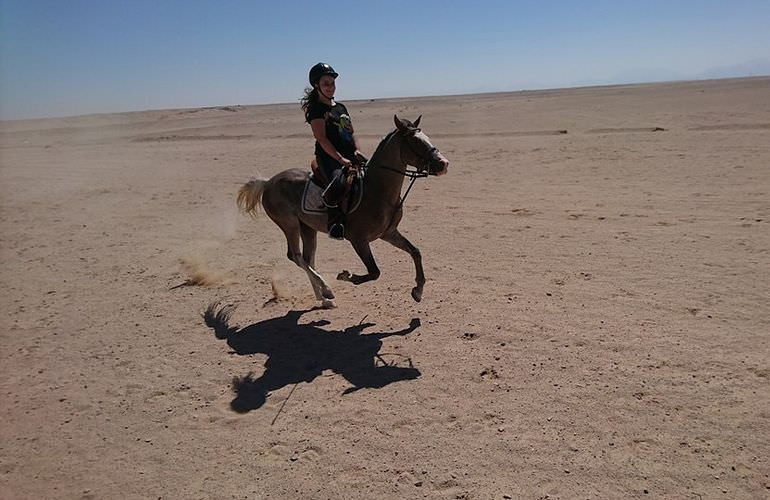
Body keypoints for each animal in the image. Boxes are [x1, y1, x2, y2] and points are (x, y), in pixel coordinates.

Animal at [237, 114, 448, 306]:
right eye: (416, 141)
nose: (444, 163)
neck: (376, 189)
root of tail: (268, 182)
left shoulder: (388, 233)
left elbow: (415, 251)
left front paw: (418, 290)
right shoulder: (358, 240)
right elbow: (374, 272)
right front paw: (346, 275)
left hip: (307, 228)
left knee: (307, 258)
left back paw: (323, 298)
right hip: (289, 225)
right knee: (296, 256)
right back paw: (326, 289)